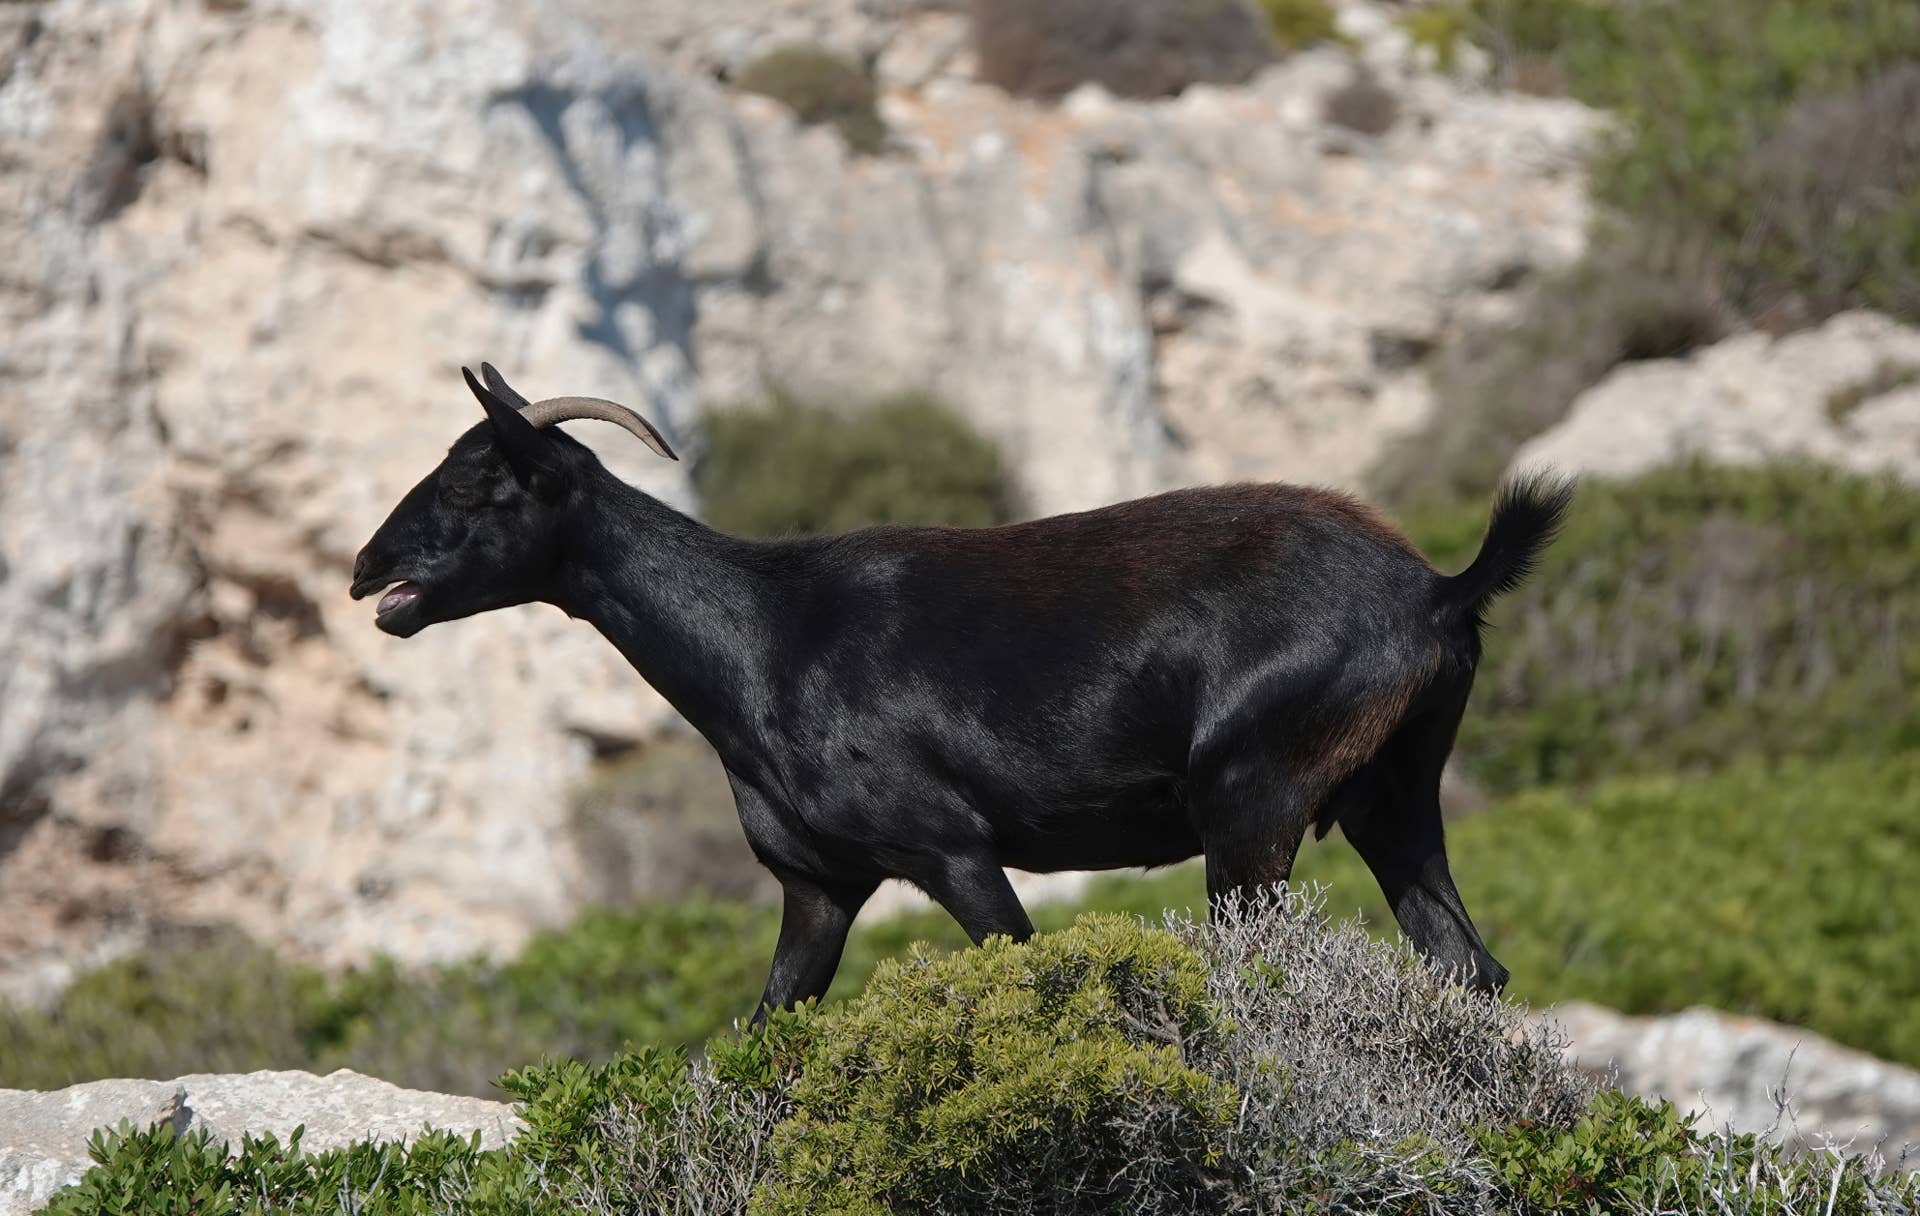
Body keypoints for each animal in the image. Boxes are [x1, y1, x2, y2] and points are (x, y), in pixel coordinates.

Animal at [351, 365, 1571, 1016]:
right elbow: (767, 1030)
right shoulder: (820, 883)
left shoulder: (947, 845)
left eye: (480, 481)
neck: (765, 634)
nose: (369, 571)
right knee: (1471, 965)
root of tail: (1439, 591)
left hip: (1251, 798)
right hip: (1394, 792)